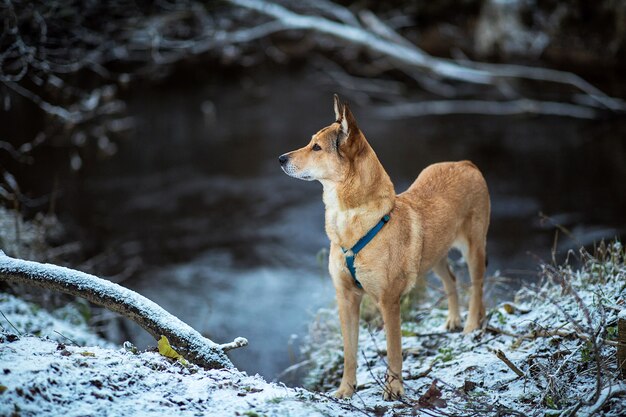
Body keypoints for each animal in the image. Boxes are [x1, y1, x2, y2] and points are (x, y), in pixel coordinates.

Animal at [276, 95, 488, 400]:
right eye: (310, 142)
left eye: (316, 147)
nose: (280, 159)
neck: (351, 217)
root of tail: (466, 163)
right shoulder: (346, 297)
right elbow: (349, 352)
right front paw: (345, 389)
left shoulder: (389, 301)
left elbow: (394, 350)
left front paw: (394, 389)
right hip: (434, 254)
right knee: (451, 279)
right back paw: (453, 319)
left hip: (474, 247)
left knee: (477, 284)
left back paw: (471, 324)